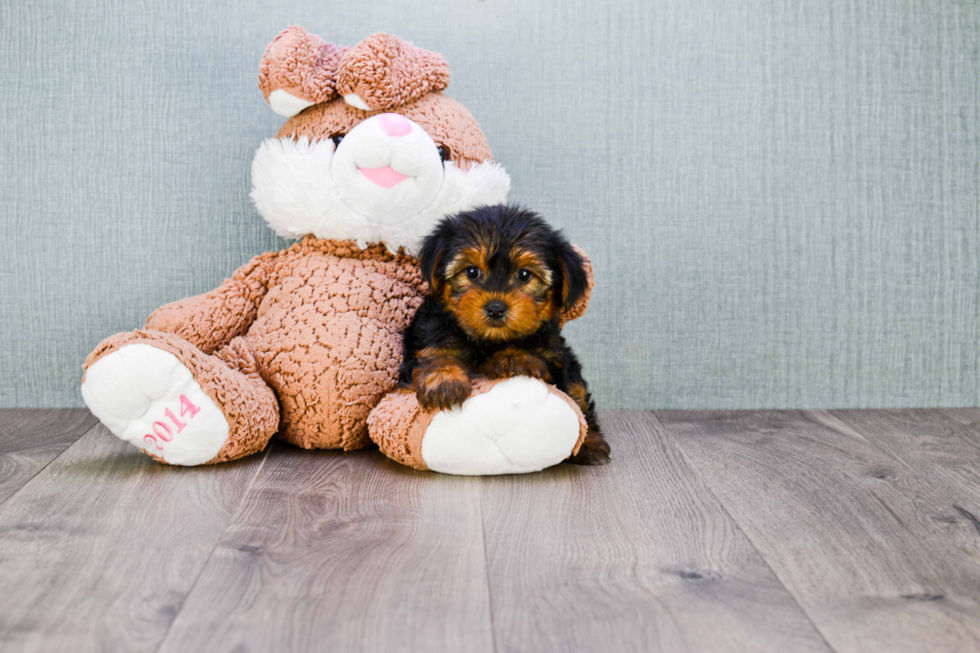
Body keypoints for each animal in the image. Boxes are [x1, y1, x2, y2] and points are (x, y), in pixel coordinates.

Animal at [394, 204, 608, 464]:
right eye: (472, 272)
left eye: (524, 275)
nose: (495, 308)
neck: (489, 341)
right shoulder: (428, 334)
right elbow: (434, 352)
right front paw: (444, 382)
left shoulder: (553, 353)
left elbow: (568, 389)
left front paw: (514, 358)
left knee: (578, 394)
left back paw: (592, 443)